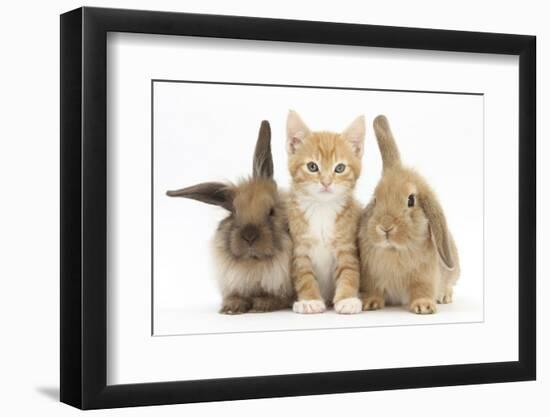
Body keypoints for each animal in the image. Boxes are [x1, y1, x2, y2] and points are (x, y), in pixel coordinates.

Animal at [168, 119, 298, 312]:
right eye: (234, 212)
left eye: (271, 211)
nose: (249, 236)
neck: (254, 264)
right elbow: (234, 296)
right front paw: (232, 307)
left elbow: (278, 298)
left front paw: (263, 304)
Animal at [288, 109, 366, 312]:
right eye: (312, 166)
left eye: (340, 168)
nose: (326, 182)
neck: (322, 209)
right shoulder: (300, 247)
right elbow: (304, 275)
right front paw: (309, 300)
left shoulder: (346, 245)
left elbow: (349, 271)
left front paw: (347, 299)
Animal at [358, 114, 462, 312]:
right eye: (375, 199)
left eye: (411, 200)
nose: (385, 226)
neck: (394, 250)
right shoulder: (370, 277)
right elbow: (374, 290)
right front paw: (369, 303)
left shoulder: (424, 277)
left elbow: (422, 289)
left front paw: (424, 307)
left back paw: (444, 296)